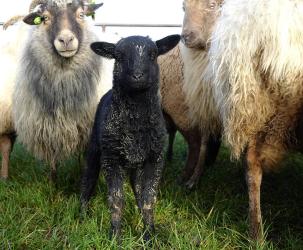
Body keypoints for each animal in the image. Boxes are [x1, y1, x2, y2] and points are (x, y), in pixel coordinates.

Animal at [79, 34, 182, 241]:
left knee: (137, 189)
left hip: (136, 165)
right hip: (96, 147)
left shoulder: (155, 159)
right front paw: (115, 237)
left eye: (153, 55)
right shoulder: (111, 159)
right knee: (88, 179)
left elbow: (148, 199)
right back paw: (82, 215)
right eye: (118, 56)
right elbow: (116, 199)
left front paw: (149, 235)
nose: (137, 76)